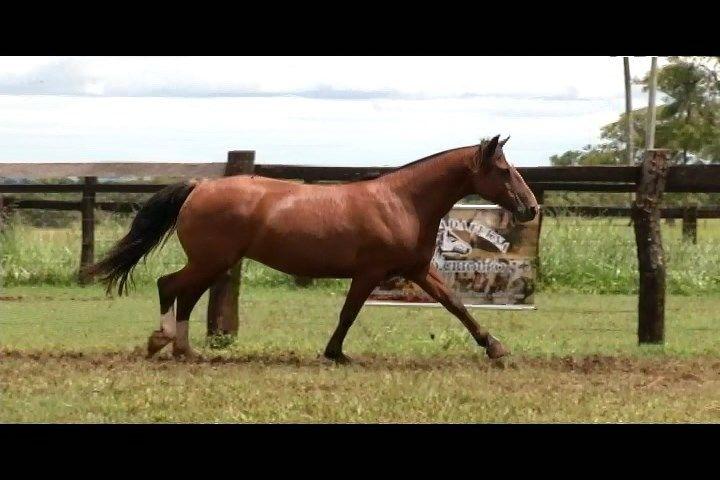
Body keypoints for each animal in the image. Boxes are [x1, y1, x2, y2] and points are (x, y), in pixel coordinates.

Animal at [87, 134, 536, 360]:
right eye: (502, 169)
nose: (530, 207)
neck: (402, 202)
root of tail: (200, 187)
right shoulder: (370, 273)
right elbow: (349, 313)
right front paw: (335, 353)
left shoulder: (417, 270)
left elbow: (456, 305)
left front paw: (495, 348)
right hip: (212, 260)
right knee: (170, 286)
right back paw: (163, 342)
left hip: (213, 262)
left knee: (185, 293)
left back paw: (184, 349)